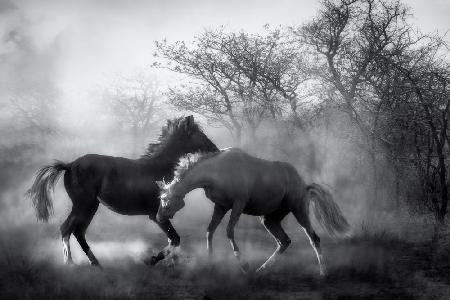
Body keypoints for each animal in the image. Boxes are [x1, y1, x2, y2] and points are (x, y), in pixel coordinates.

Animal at [26, 115, 220, 268]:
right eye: (201, 136)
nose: (216, 150)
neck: (159, 170)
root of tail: (70, 165)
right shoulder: (157, 215)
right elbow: (175, 239)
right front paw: (151, 260)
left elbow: (173, 240)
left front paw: (173, 263)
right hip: (83, 205)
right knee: (66, 228)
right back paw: (69, 263)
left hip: (91, 206)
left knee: (78, 231)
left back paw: (95, 263)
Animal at [156, 149, 350, 276]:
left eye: (164, 199)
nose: (158, 218)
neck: (217, 171)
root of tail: (304, 186)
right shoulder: (221, 207)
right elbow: (210, 231)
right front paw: (211, 263)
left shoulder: (238, 204)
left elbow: (229, 231)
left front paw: (243, 264)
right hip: (269, 219)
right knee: (284, 241)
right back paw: (262, 269)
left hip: (299, 211)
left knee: (314, 239)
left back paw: (323, 272)